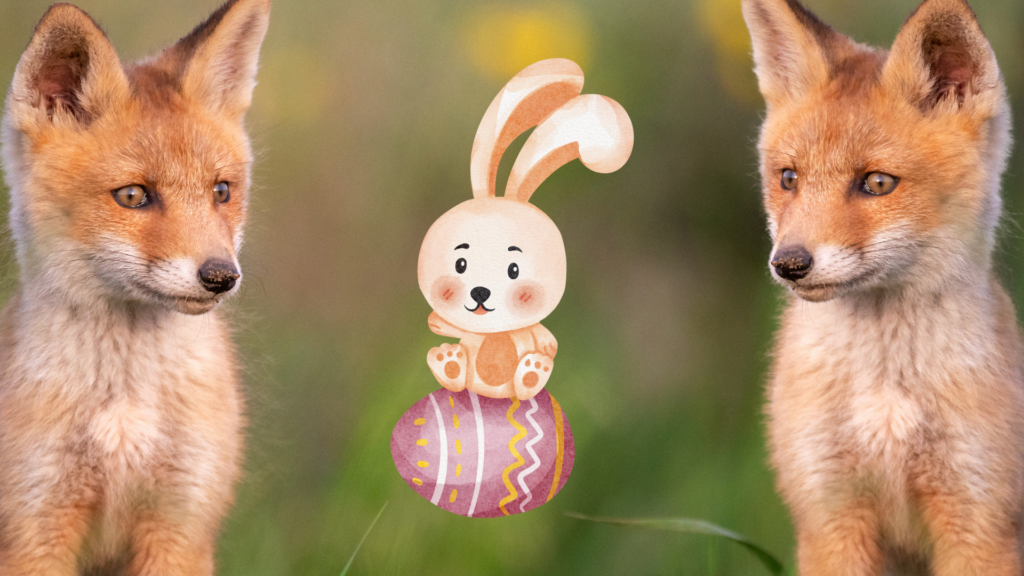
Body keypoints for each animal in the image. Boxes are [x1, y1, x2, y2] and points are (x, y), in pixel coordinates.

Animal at [0, 0, 270, 573]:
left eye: (221, 191)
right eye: (132, 195)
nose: (221, 276)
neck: (125, 410)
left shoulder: (181, 524)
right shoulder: (33, 529)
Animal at [741, 0, 1023, 574]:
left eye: (876, 183)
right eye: (788, 178)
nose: (789, 263)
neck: (885, 396)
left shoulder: (981, 520)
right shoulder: (830, 514)